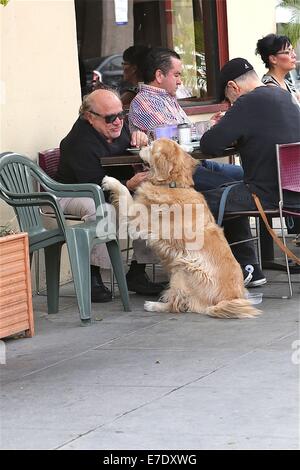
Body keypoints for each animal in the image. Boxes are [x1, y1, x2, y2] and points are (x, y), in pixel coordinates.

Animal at [102, 138, 260, 318]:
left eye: (151, 146)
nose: (140, 145)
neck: (172, 184)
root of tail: (229, 298)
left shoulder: (137, 214)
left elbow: (124, 193)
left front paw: (110, 181)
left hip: (182, 269)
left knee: (177, 305)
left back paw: (153, 305)